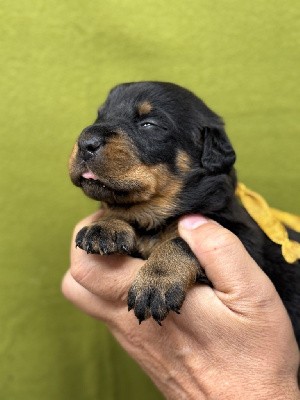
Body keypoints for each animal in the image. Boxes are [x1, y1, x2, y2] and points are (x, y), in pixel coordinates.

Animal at [68, 80, 300, 344]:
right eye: (100, 116)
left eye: (149, 124)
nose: (85, 141)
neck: (156, 218)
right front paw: (106, 226)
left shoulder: (241, 238)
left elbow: (181, 242)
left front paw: (156, 281)